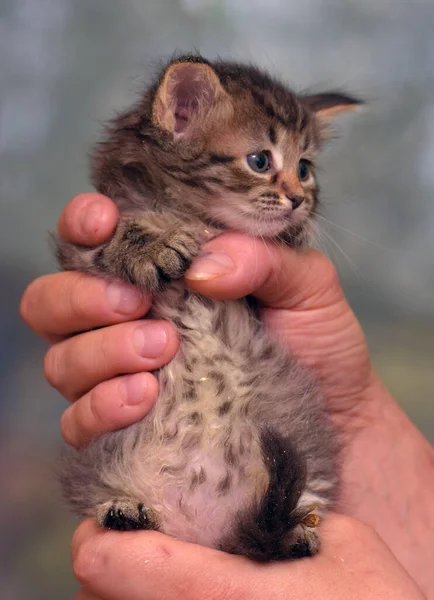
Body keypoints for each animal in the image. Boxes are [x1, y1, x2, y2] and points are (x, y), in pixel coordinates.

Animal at [56, 54, 362, 560]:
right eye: (260, 161)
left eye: (305, 168)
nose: (300, 200)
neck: (198, 219)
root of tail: (201, 527)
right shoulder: (80, 246)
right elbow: (116, 235)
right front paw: (152, 246)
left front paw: (293, 232)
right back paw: (123, 508)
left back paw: (297, 532)